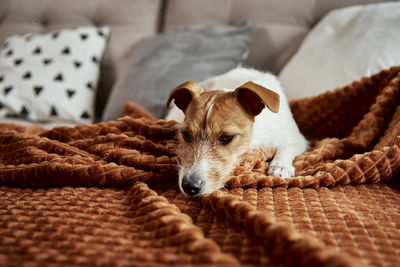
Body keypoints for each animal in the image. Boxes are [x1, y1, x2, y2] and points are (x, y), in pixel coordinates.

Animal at [164, 67, 308, 197]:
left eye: (227, 138)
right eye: (186, 134)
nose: (189, 187)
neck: (255, 136)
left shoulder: (297, 139)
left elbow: (287, 147)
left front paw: (281, 166)